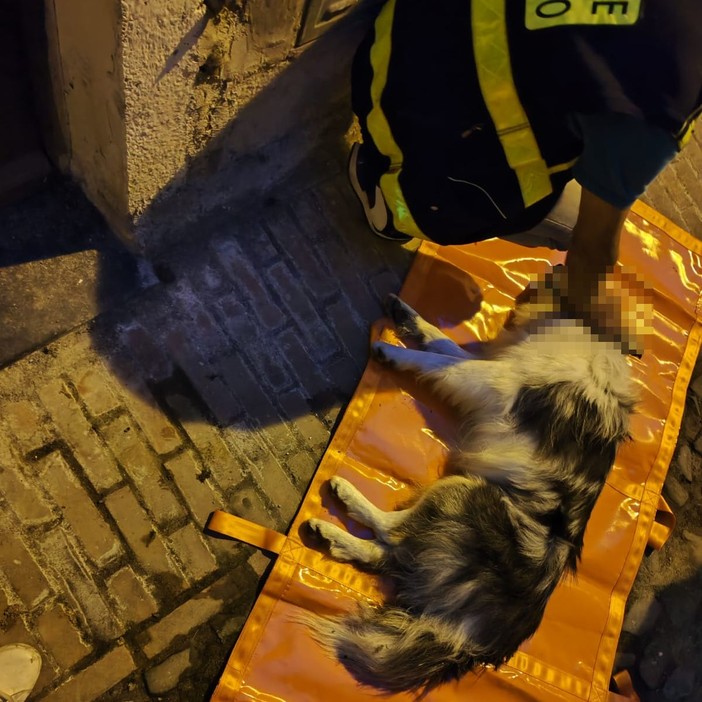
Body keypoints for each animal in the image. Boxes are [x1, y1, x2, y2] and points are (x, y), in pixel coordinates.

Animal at [306, 282, 640, 700]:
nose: (526, 293)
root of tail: (471, 640)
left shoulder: (493, 380)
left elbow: (438, 361)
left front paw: (392, 351)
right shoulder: (493, 367)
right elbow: (443, 342)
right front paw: (406, 316)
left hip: (464, 492)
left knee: (391, 531)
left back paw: (346, 499)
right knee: (391, 552)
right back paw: (334, 536)